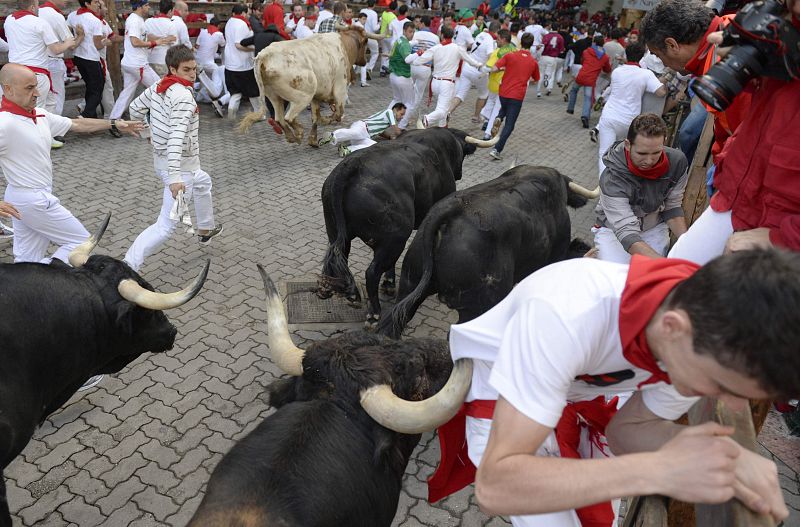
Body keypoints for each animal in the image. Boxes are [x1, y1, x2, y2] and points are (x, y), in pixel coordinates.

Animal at [239, 26, 380, 146]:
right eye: (365, 42)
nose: (364, 61)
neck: (343, 45)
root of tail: (264, 56)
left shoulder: (317, 96)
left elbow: (315, 117)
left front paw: (313, 139)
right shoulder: (340, 89)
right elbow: (338, 113)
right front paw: (328, 120)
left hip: (275, 97)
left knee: (279, 118)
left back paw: (291, 137)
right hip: (303, 96)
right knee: (288, 117)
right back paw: (299, 132)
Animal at [316, 128, 496, 326]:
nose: (460, 173)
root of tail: (352, 164)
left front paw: (389, 283)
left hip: (337, 232)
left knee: (339, 255)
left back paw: (342, 292)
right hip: (395, 238)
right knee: (372, 272)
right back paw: (374, 313)